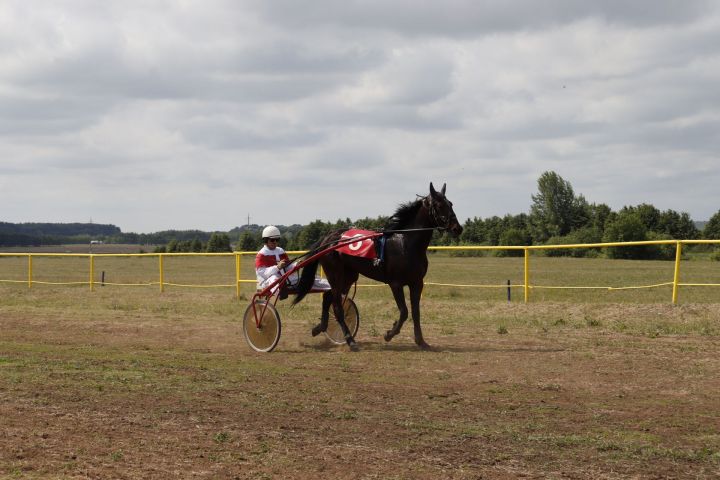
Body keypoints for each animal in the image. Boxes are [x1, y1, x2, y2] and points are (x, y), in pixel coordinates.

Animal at [296, 183, 464, 348]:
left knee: (327, 297)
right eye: (439, 205)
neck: (405, 243)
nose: (458, 228)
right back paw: (350, 340)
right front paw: (389, 334)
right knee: (337, 305)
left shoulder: (417, 283)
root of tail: (329, 237)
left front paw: (421, 341)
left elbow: (416, 312)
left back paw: (320, 327)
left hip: (348, 277)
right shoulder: (395, 284)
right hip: (336, 275)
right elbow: (404, 312)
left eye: (450, 203)